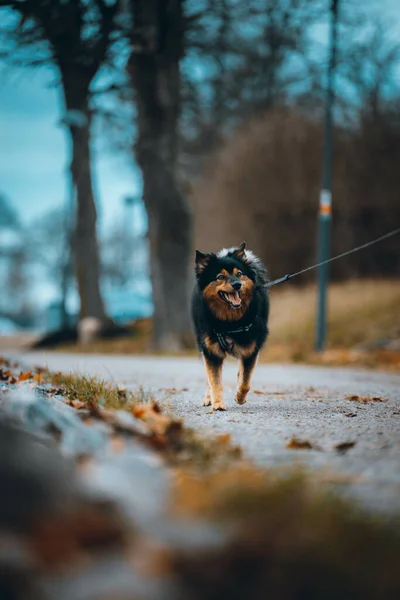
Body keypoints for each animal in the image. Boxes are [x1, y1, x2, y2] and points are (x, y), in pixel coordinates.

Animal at [191, 241, 268, 410]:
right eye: (220, 277)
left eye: (239, 274)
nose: (237, 285)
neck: (229, 322)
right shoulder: (211, 351)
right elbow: (214, 380)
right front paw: (218, 403)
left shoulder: (250, 350)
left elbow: (245, 381)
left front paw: (239, 397)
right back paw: (208, 398)